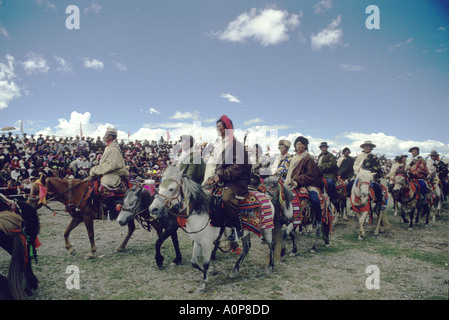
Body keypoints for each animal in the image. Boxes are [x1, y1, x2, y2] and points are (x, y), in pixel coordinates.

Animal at [150, 166, 274, 294]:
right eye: (159, 187)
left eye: (171, 189)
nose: (153, 209)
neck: (201, 213)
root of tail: (266, 196)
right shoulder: (197, 241)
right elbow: (194, 262)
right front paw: (212, 271)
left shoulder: (207, 243)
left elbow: (206, 263)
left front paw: (203, 284)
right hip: (245, 232)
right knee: (246, 248)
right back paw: (235, 270)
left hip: (267, 229)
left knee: (271, 244)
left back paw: (269, 266)